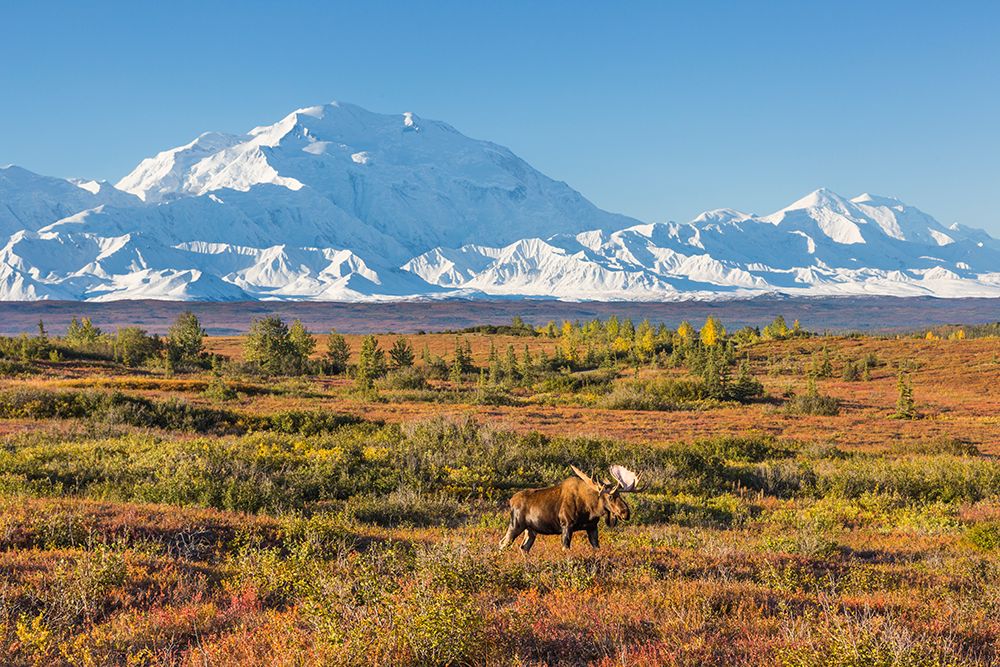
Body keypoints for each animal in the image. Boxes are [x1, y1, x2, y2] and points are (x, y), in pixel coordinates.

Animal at [498, 464, 639, 553]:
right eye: (610, 496)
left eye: (620, 495)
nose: (626, 513)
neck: (590, 509)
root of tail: (511, 501)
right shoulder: (566, 525)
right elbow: (566, 549)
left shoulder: (592, 527)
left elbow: (597, 548)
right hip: (516, 525)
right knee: (503, 543)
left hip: (531, 530)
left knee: (524, 548)